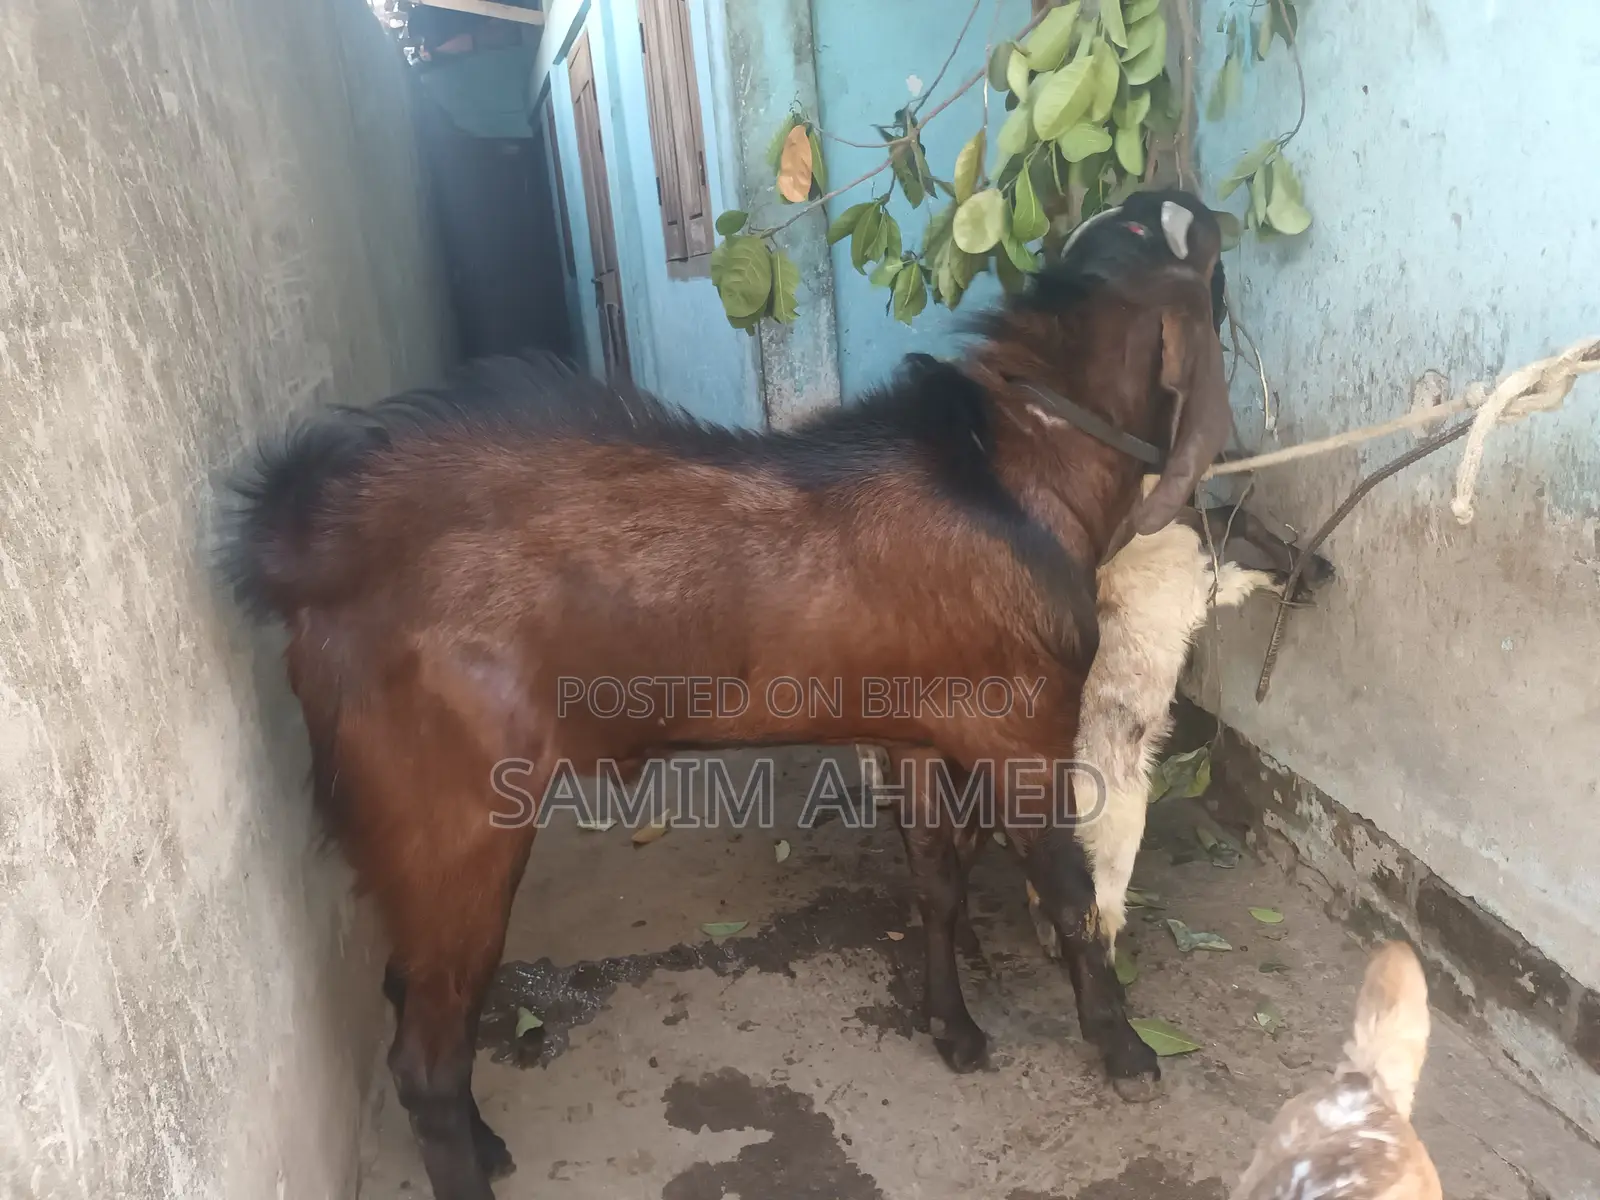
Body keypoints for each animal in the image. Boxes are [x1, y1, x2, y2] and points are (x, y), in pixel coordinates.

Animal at [223, 187, 1232, 1200]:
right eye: (1190, 251)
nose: (1201, 204)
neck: (1014, 470)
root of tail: (313, 559)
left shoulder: (919, 732)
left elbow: (937, 886)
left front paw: (954, 1032)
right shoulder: (1023, 729)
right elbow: (1073, 896)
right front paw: (1126, 1052)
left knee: (422, 1000)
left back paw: (488, 1141)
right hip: (456, 822)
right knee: (426, 1055)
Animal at [1025, 501, 1336, 960]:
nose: (1325, 569)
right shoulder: (1199, 582)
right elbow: (1237, 571)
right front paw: (1289, 581)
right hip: (1113, 842)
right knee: (1097, 916)